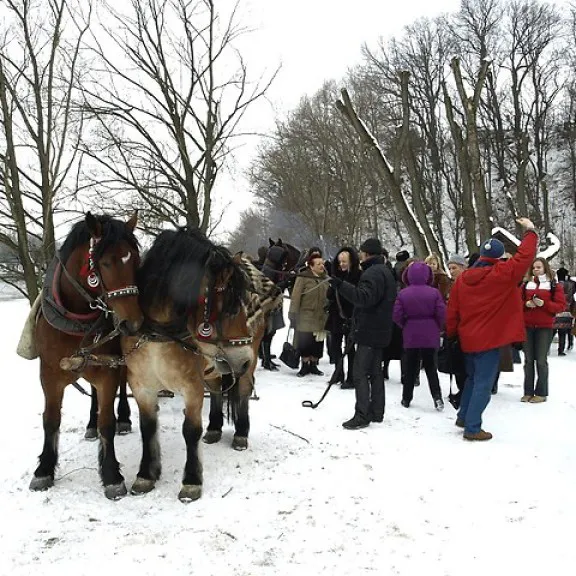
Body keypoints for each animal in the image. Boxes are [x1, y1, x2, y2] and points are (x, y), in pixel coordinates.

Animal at [29, 212, 143, 500]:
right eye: (105, 262)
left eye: (136, 261)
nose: (133, 324)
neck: (75, 318)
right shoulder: (49, 374)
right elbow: (51, 420)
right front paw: (44, 470)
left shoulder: (108, 371)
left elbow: (107, 423)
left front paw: (111, 474)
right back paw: (90, 424)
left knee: (120, 389)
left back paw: (124, 418)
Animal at [122, 227, 254, 502]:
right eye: (231, 307)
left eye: (241, 305)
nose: (244, 358)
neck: (158, 336)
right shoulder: (141, 388)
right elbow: (147, 427)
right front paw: (146, 475)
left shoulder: (192, 387)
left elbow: (190, 430)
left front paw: (192, 481)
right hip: (216, 368)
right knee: (217, 391)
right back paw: (214, 428)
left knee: (243, 393)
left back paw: (240, 434)